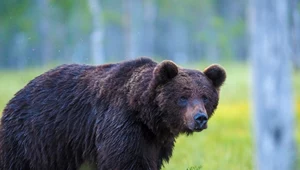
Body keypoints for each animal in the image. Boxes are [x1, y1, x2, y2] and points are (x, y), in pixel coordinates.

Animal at [0, 57, 225, 169]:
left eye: (205, 97)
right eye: (183, 97)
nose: (200, 118)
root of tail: (15, 97)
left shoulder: (155, 142)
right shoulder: (120, 124)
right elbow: (125, 160)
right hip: (33, 140)